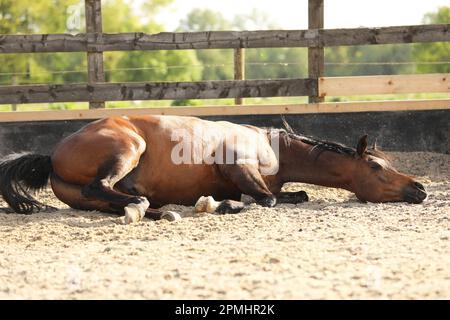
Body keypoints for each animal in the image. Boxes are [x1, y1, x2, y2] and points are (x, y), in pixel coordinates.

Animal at [0, 114, 426, 222]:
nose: (420, 189)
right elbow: (268, 200)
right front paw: (222, 203)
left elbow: (294, 195)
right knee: (106, 189)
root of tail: (53, 155)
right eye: (376, 166)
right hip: (128, 148)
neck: (274, 145)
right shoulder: (237, 165)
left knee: (120, 199)